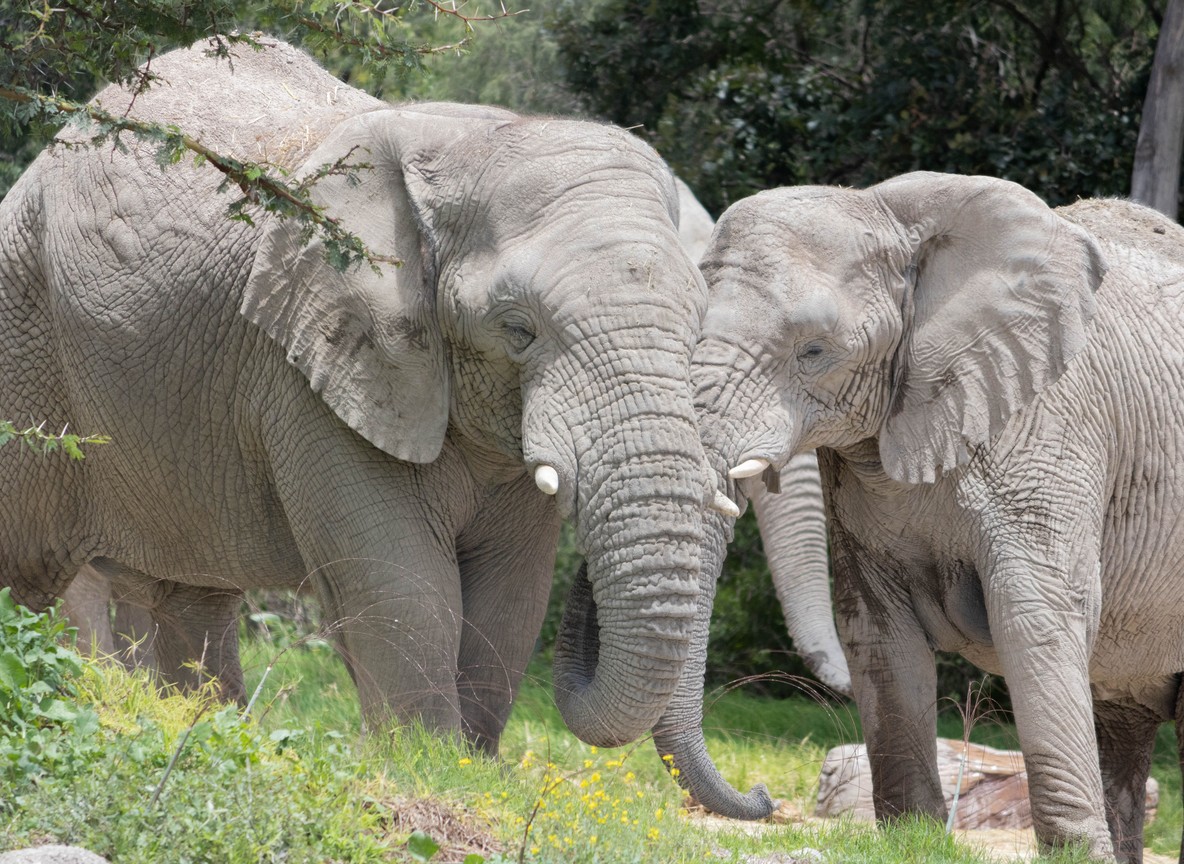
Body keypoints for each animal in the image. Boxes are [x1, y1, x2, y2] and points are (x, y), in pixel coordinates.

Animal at [0, 37, 723, 755]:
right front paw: (427, 763)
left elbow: (510, 596)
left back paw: (208, 728)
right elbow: (404, 586)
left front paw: (469, 763)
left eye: (698, 327)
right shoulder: (311, 370)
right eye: (519, 329)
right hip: (23, 322)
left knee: (190, 593)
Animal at [675, 171, 1184, 862]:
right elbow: (878, 629)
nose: (763, 796)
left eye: (814, 351)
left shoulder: (1053, 430)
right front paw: (914, 837)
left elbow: (1035, 620)